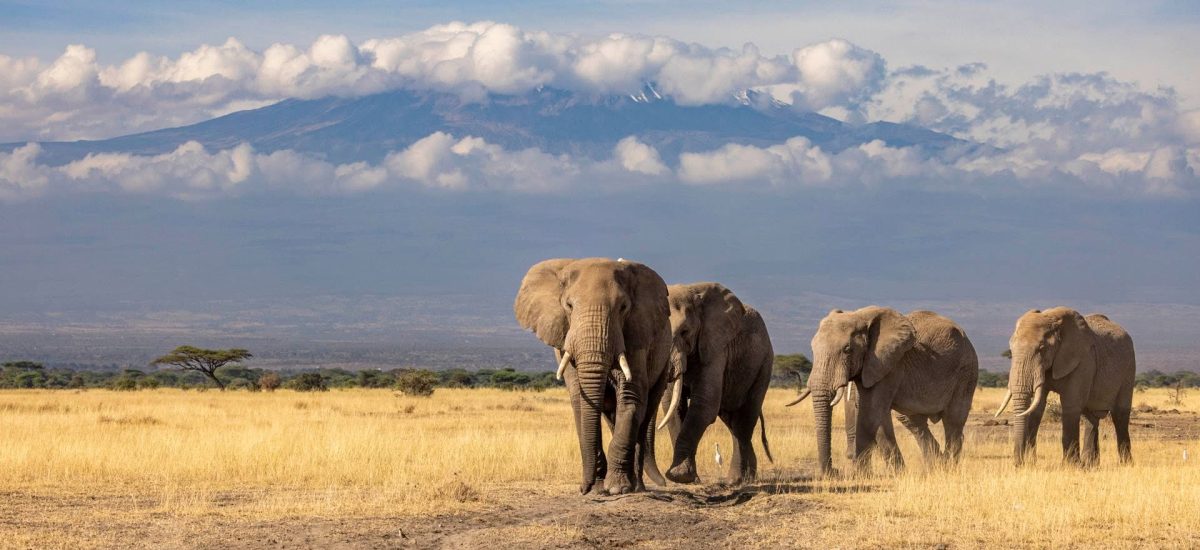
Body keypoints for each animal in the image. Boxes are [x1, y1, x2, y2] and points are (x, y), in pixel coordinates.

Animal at [514, 258, 672, 495]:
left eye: (623, 307)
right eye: (569, 306)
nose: (583, 488)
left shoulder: (635, 333)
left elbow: (630, 397)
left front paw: (617, 489)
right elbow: (580, 401)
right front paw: (598, 489)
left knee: (645, 415)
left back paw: (636, 487)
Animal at [656, 282, 774, 485]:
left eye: (685, 332)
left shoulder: (716, 346)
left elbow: (704, 404)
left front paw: (680, 477)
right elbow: (674, 406)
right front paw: (688, 478)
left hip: (763, 364)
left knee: (744, 420)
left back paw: (738, 480)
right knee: (731, 421)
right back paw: (744, 478)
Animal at [791, 307, 978, 474]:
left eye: (847, 350)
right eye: (812, 349)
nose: (833, 471)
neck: (860, 316)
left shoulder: (889, 365)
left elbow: (871, 412)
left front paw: (862, 475)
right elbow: (864, 411)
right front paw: (894, 473)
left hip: (966, 371)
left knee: (953, 421)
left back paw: (948, 469)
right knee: (913, 421)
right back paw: (935, 467)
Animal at [993, 308, 1135, 467]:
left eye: (1042, 348)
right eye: (1011, 350)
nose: (1018, 464)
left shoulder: (1083, 360)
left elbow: (1070, 404)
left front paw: (1070, 466)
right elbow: (1038, 406)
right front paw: (1031, 463)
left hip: (1129, 369)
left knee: (1120, 415)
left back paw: (1125, 464)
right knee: (1090, 417)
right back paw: (1090, 465)